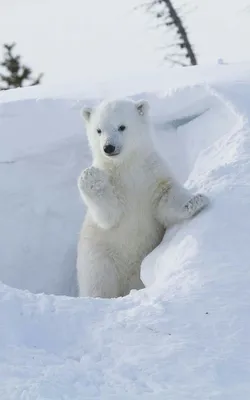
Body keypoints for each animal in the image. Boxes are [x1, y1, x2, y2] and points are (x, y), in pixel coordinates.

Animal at [76, 97, 209, 296]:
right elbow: (109, 215)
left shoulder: (151, 174)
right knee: (99, 283)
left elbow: (165, 197)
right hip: (99, 257)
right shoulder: (115, 184)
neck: (127, 167)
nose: (108, 147)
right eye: (98, 130)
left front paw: (196, 201)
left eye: (122, 126)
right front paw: (91, 178)